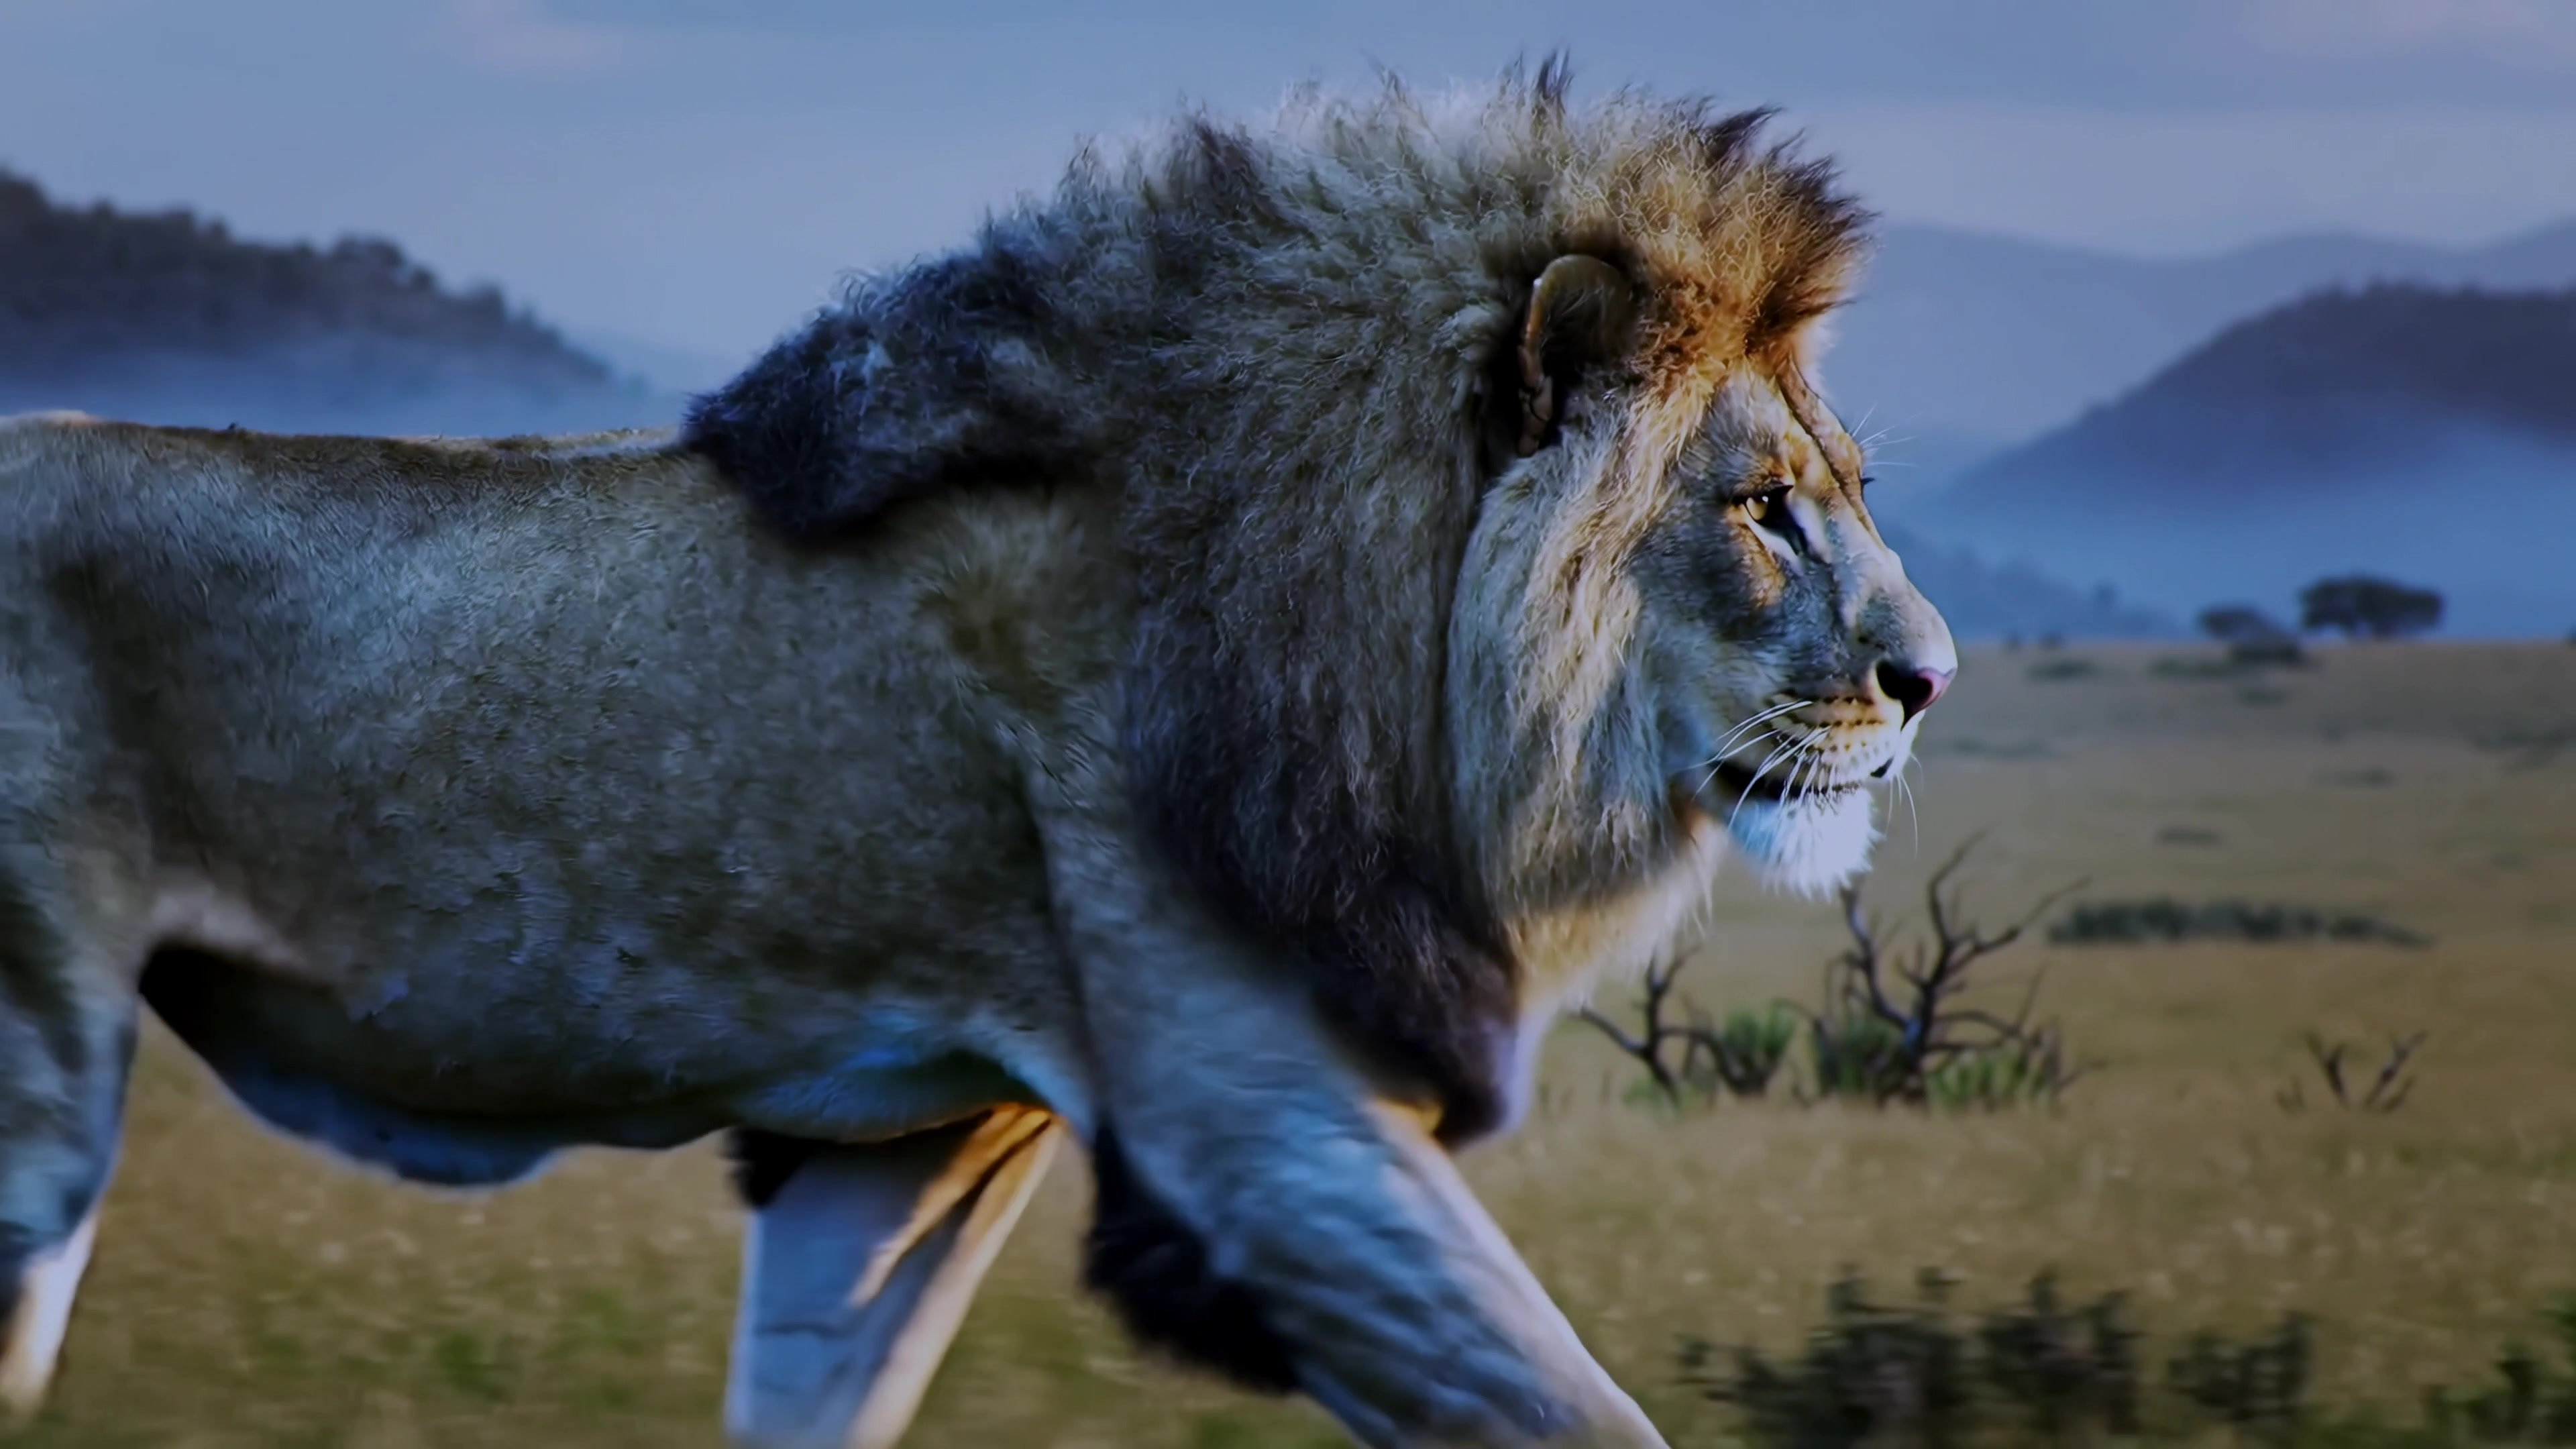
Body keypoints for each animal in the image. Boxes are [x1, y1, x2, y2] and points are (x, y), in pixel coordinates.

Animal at [0, 61, 1954, 1448]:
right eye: (1762, 509)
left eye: (1847, 489)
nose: (1929, 677)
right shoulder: (1265, 1139)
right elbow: (1569, 1414)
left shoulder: (910, 1147)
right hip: (36, 1077)